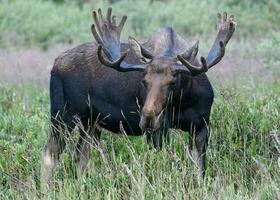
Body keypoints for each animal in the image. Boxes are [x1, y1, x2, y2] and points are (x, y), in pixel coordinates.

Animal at [40, 7, 235, 186]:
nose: (148, 116)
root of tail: (55, 65)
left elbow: (200, 171)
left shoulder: (201, 125)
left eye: (173, 81)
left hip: (90, 122)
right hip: (63, 114)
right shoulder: (159, 129)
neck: (185, 100)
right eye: (144, 81)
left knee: (80, 157)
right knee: (50, 155)